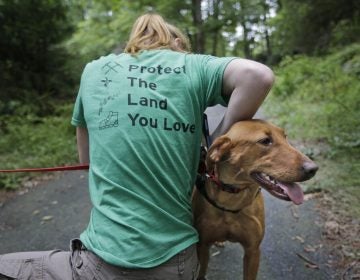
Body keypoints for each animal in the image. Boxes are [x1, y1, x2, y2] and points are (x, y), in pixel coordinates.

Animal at [194, 119, 318, 278]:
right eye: (265, 141)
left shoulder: (253, 251)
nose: (313, 168)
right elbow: (201, 273)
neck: (232, 201)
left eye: (285, 137)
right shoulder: (202, 246)